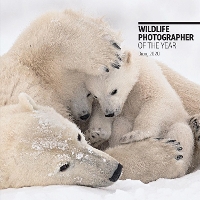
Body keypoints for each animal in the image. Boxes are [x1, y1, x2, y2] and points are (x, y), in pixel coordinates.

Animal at [85, 49, 194, 181]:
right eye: (95, 95)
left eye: (114, 91)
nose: (110, 113)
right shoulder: (111, 105)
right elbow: (100, 114)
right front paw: (95, 134)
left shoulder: (148, 78)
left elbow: (158, 102)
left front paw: (134, 135)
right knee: (121, 124)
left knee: (180, 130)